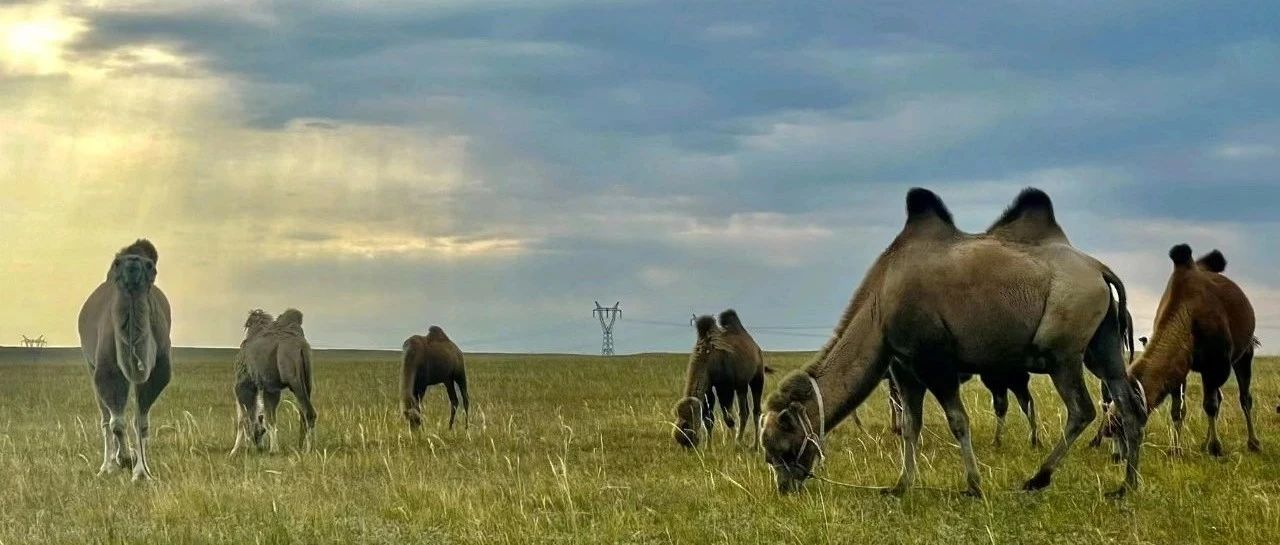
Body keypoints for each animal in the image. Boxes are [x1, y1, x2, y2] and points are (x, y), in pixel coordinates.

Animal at [78, 240, 172, 478]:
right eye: (117, 264)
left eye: (151, 267)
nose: (132, 265)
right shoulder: (106, 369)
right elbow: (116, 422)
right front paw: (123, 459)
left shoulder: (158, 371)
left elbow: (141, 422)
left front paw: (141, 471)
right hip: (91, 366)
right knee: (105, 418)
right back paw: (106, 466)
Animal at [227, 310, 314, 455]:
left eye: (261, 433)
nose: (259, 446)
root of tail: (301, 347)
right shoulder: (272, 388)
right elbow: (271, 418)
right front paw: (274, 449)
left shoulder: (243, 385)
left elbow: (244, 418)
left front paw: (237, 450)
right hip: (307, 380)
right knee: (303, 413)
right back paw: (301, 446)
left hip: (295, 379)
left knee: (309, 413)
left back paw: (309, 450)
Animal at [675, 310, 762, 447]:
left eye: (687, 431)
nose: (690, 448)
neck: (707, 359)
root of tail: (755, 346)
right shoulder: (708, 389)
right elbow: (708, 420)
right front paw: (708, 447)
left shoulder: (725, 387)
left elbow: (728, 418)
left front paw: (732, 445)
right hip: (741, 385)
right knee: (744, 411)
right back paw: (740, 439)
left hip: (757, 376)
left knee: (755, 411)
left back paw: (755, 444)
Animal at [752, 188, 1146, 498]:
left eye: (784, 447)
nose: (784, 488)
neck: (880, 305)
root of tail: (1100, 270)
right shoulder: (904, 368)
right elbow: (910, 427)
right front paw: (900, 486)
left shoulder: (935, 361)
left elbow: (958, 421)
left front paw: (974, 486)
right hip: (1102, 343)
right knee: (1127, 403)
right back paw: (1125, 486)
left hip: (1062, 346)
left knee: (1082, 408)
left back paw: (1037, 479)